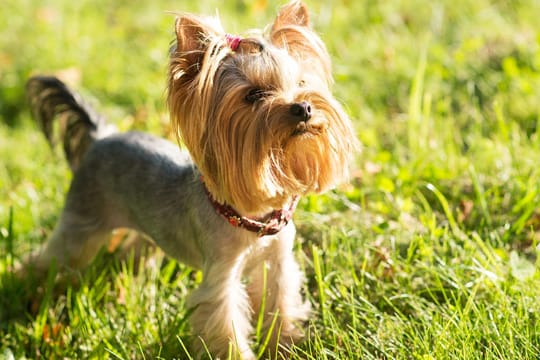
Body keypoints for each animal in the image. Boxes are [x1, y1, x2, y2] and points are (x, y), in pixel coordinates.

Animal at [21, 1, 356, 358]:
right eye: (253, 95)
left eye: (303, 81)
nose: (304, 108)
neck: (252, 216)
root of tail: (101, 136)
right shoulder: (221, 274)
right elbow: (225, 323)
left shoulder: (278, 262)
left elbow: (280, 303)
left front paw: (284, 346)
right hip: (81, 223)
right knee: (54, 256)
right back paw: (30, 287)